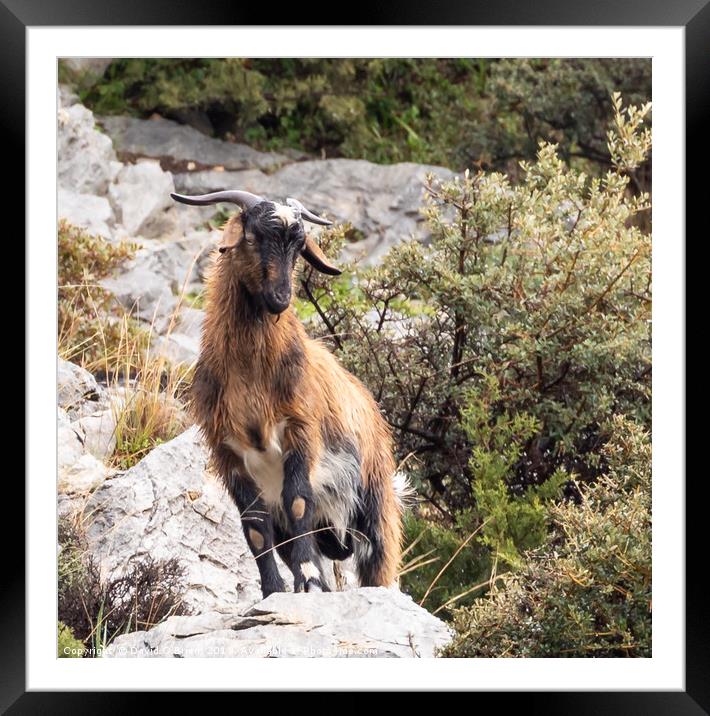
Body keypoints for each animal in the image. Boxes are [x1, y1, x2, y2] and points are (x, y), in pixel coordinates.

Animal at [170, 189, 406, 592]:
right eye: (252, 237)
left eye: (298, 247)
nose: (281, 298)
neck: (252, 378)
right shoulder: (230, 454)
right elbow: (255, 529)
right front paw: (273, 591)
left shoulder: (300, 433)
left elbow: (298, 503)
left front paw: (308, 582)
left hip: (374, 502)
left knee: (378, 562)